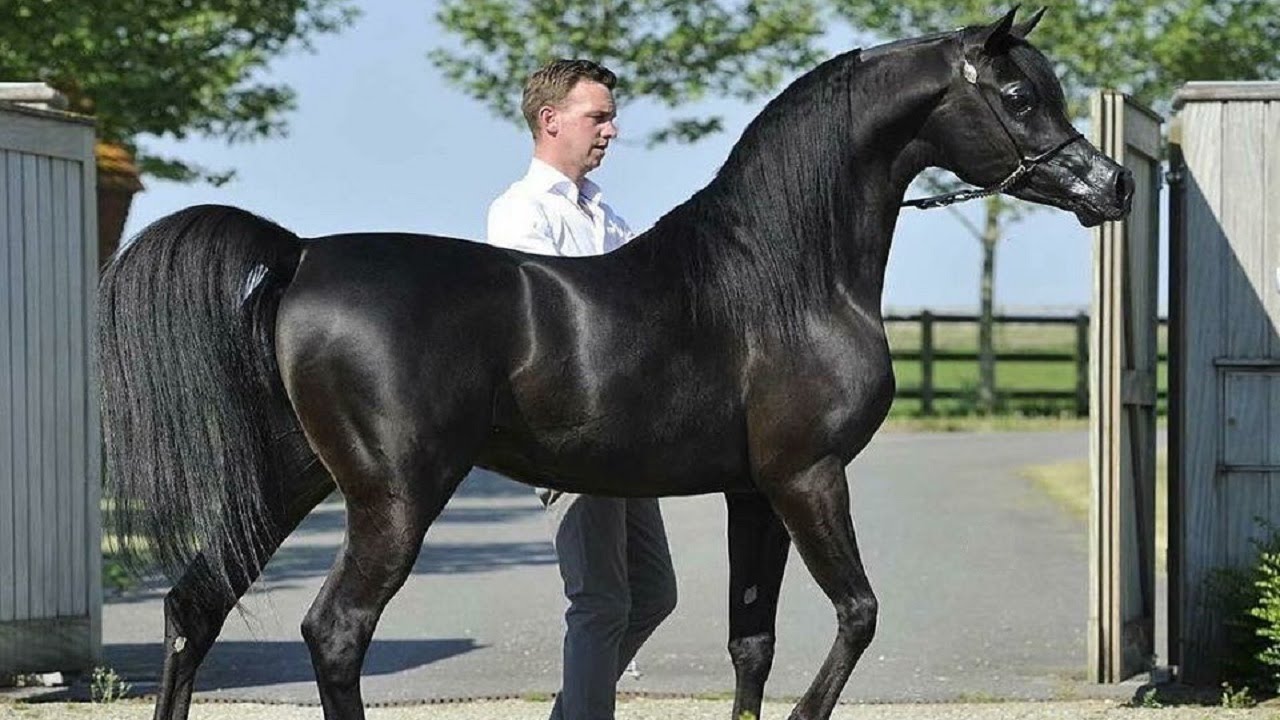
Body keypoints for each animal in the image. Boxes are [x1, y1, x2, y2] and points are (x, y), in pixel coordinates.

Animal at [97, 8, 1132, 720]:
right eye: (1018, 97)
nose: (1112, 186)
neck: (784, 275)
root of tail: (303, 253)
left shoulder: (752, 492)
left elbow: (750, 642)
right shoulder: (808, 477)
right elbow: (858, 613)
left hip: (291, 477)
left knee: (197, 604)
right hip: (393, 497)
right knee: (336, 632)